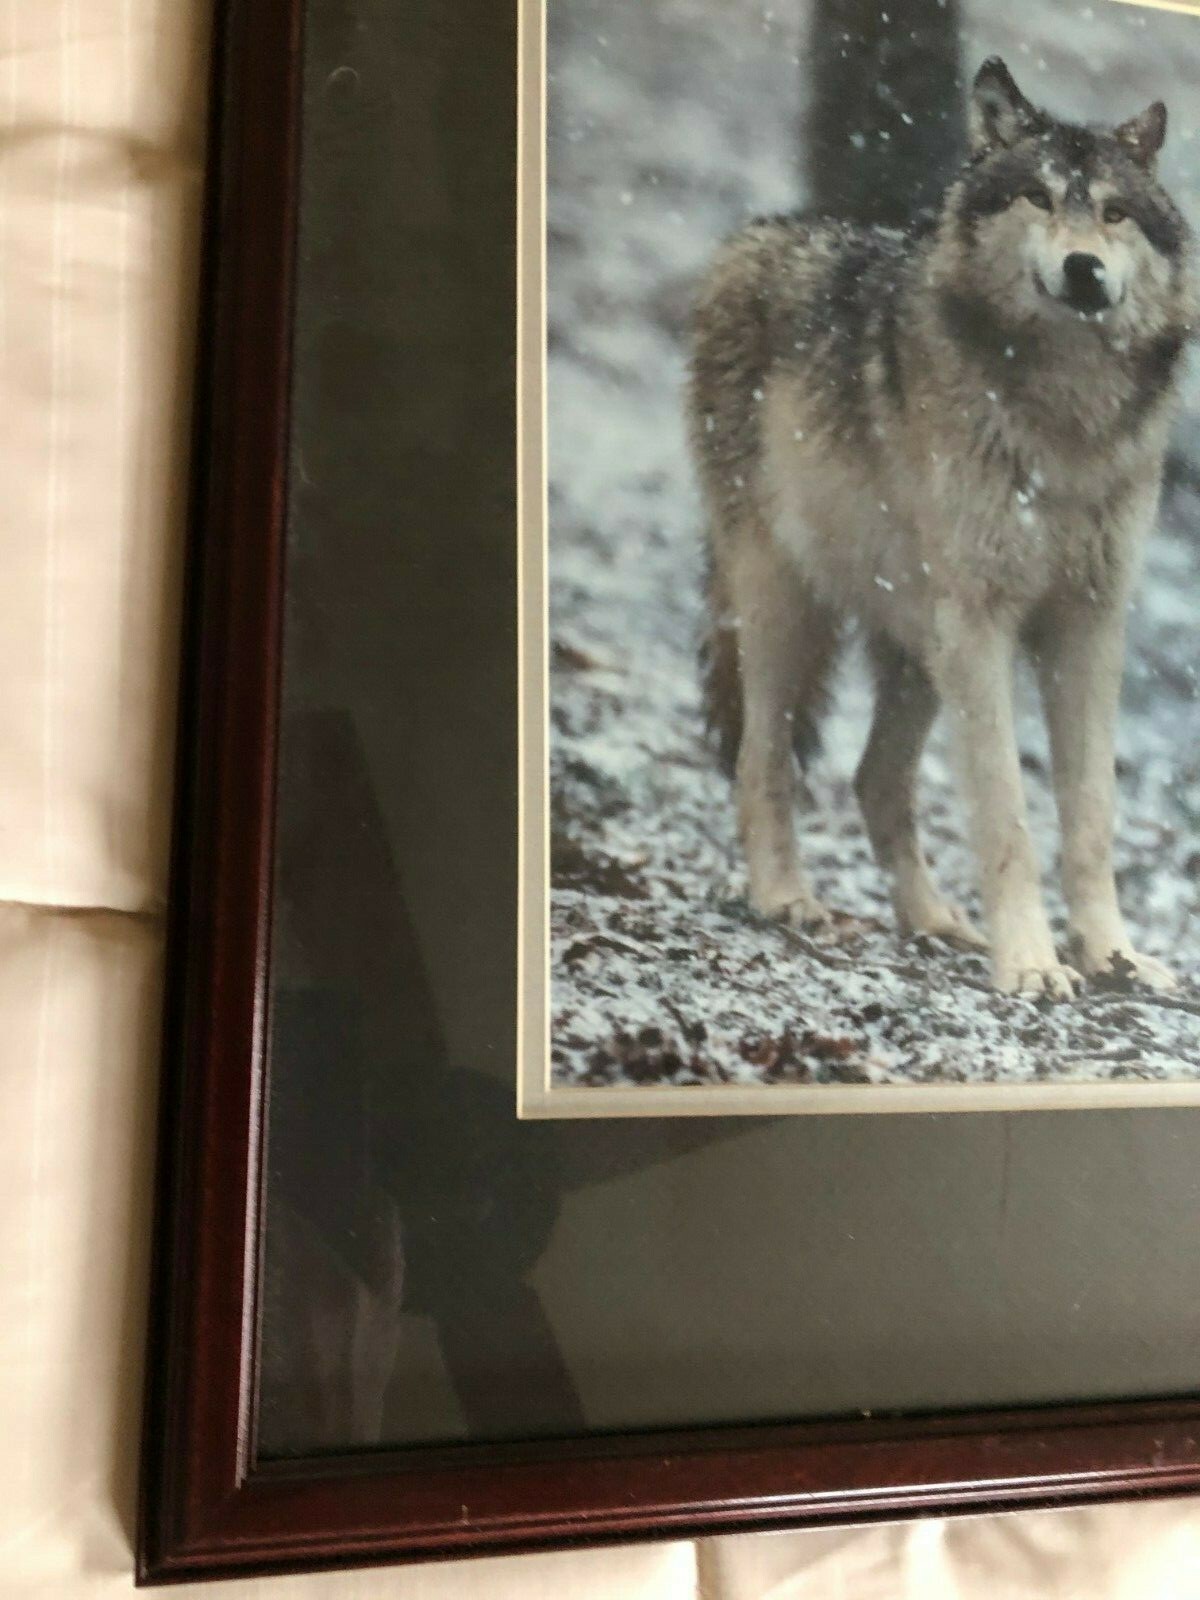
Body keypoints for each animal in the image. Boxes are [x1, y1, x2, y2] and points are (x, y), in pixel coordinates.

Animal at [689, 58, 1195, 998]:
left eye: (1113, 212)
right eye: (1037, 196)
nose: (1084, 269)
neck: (1063, 422)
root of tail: (760, 235)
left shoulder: (1089, 624)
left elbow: (1091, 815)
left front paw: (1114, 956)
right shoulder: (983, 621)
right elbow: (1007, 815)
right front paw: (1032, 965)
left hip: (920, 643)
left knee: (873, 780)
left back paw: (932, 921)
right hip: (789, 610)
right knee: (761, 760)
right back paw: (787, 900)